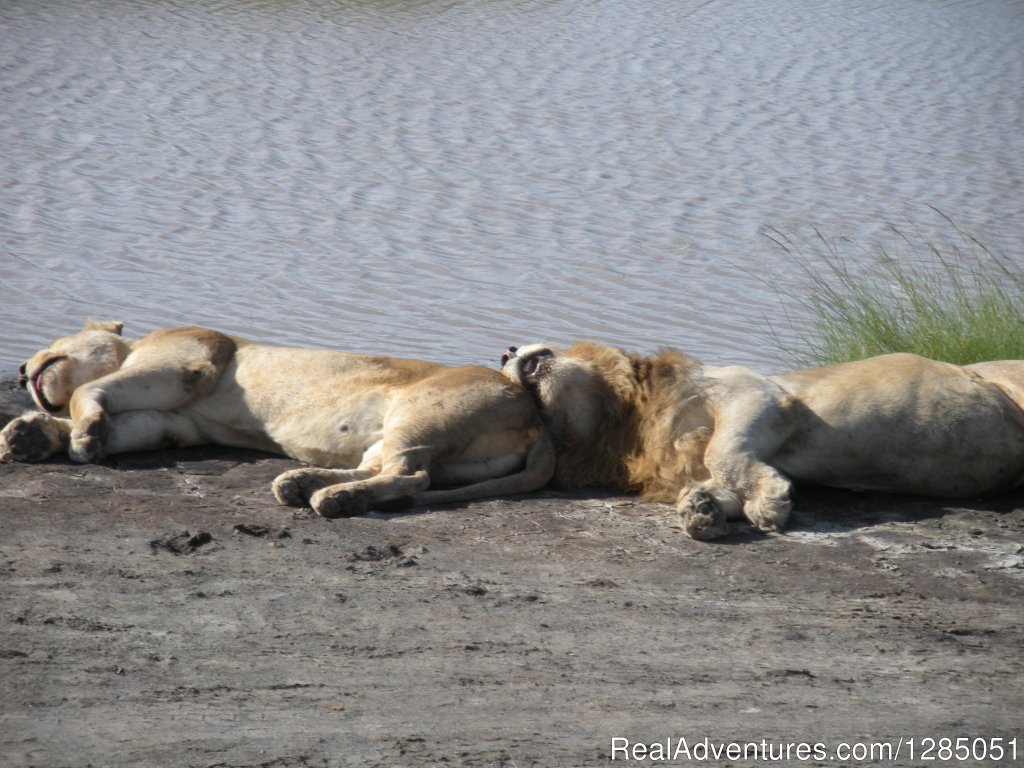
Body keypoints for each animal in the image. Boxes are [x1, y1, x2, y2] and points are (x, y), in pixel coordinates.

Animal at [0, 319, 557, 518]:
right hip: (418, 440)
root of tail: (532, 410)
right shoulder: (173, 423)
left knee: (409, 476)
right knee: (389, 470)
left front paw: (77, 437)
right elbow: (111, 422)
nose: (22, 369)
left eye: (54, 341)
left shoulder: (190, 361)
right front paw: (30, 436)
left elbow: (86, 392)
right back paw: (299, 484)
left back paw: (332, 500)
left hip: (422, 414)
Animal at [499, 342, 1024, 540]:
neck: (625, 420)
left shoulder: (756, 394)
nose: (504, 351)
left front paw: (770, 504)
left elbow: (725, 453)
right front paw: (702, 511)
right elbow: (720, 481)